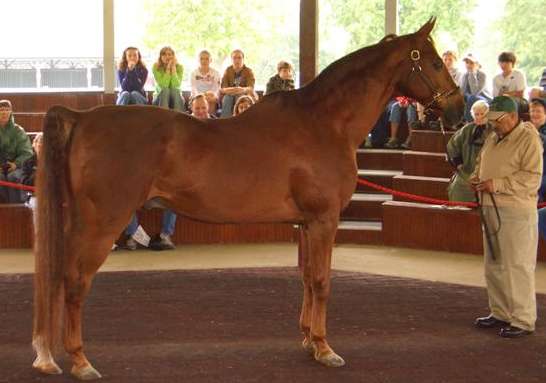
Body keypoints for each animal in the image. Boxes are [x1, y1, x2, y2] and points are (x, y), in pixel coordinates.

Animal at [33, 20, 460, 380]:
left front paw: (308, 339)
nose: (456, 109)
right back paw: (80, 361)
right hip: (103, 223)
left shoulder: (307, 224)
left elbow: (307, 279)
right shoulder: (324, 220)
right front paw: (325, 349)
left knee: (59, 277)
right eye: (435, 62)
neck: (324, 122)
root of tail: (81, 118)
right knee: (76, 282)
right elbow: (322, 281)